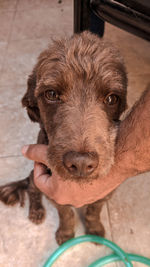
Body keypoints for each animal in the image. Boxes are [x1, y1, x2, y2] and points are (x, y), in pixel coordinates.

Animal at [0, 30, 127, 245]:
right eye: (51, 94)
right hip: (34, 176)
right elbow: (66, 213)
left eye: (111, 98)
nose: (81, 163)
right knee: (32, 188)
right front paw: (66, 234)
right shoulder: (53, 191)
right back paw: (36, 211)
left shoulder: (106, 190)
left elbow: (93, 211)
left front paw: (94, 229)